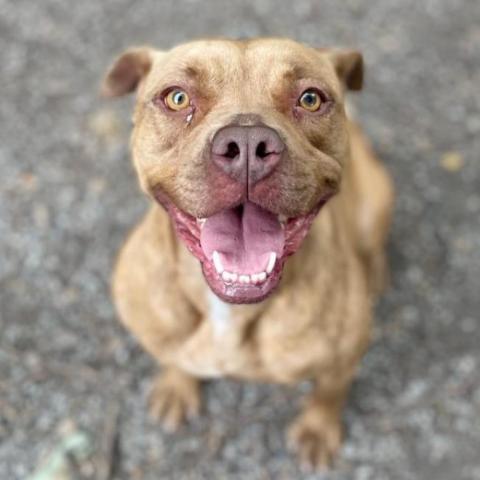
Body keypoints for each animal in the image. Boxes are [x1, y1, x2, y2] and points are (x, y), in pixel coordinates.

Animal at [101, 38, 394, 468]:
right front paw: (176, 386)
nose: (247, 143)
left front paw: (317, 430)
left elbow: (328, 395)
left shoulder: (343, 359)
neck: (230, 311)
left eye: (310, 99)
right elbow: (173, 358)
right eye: (176, 98)